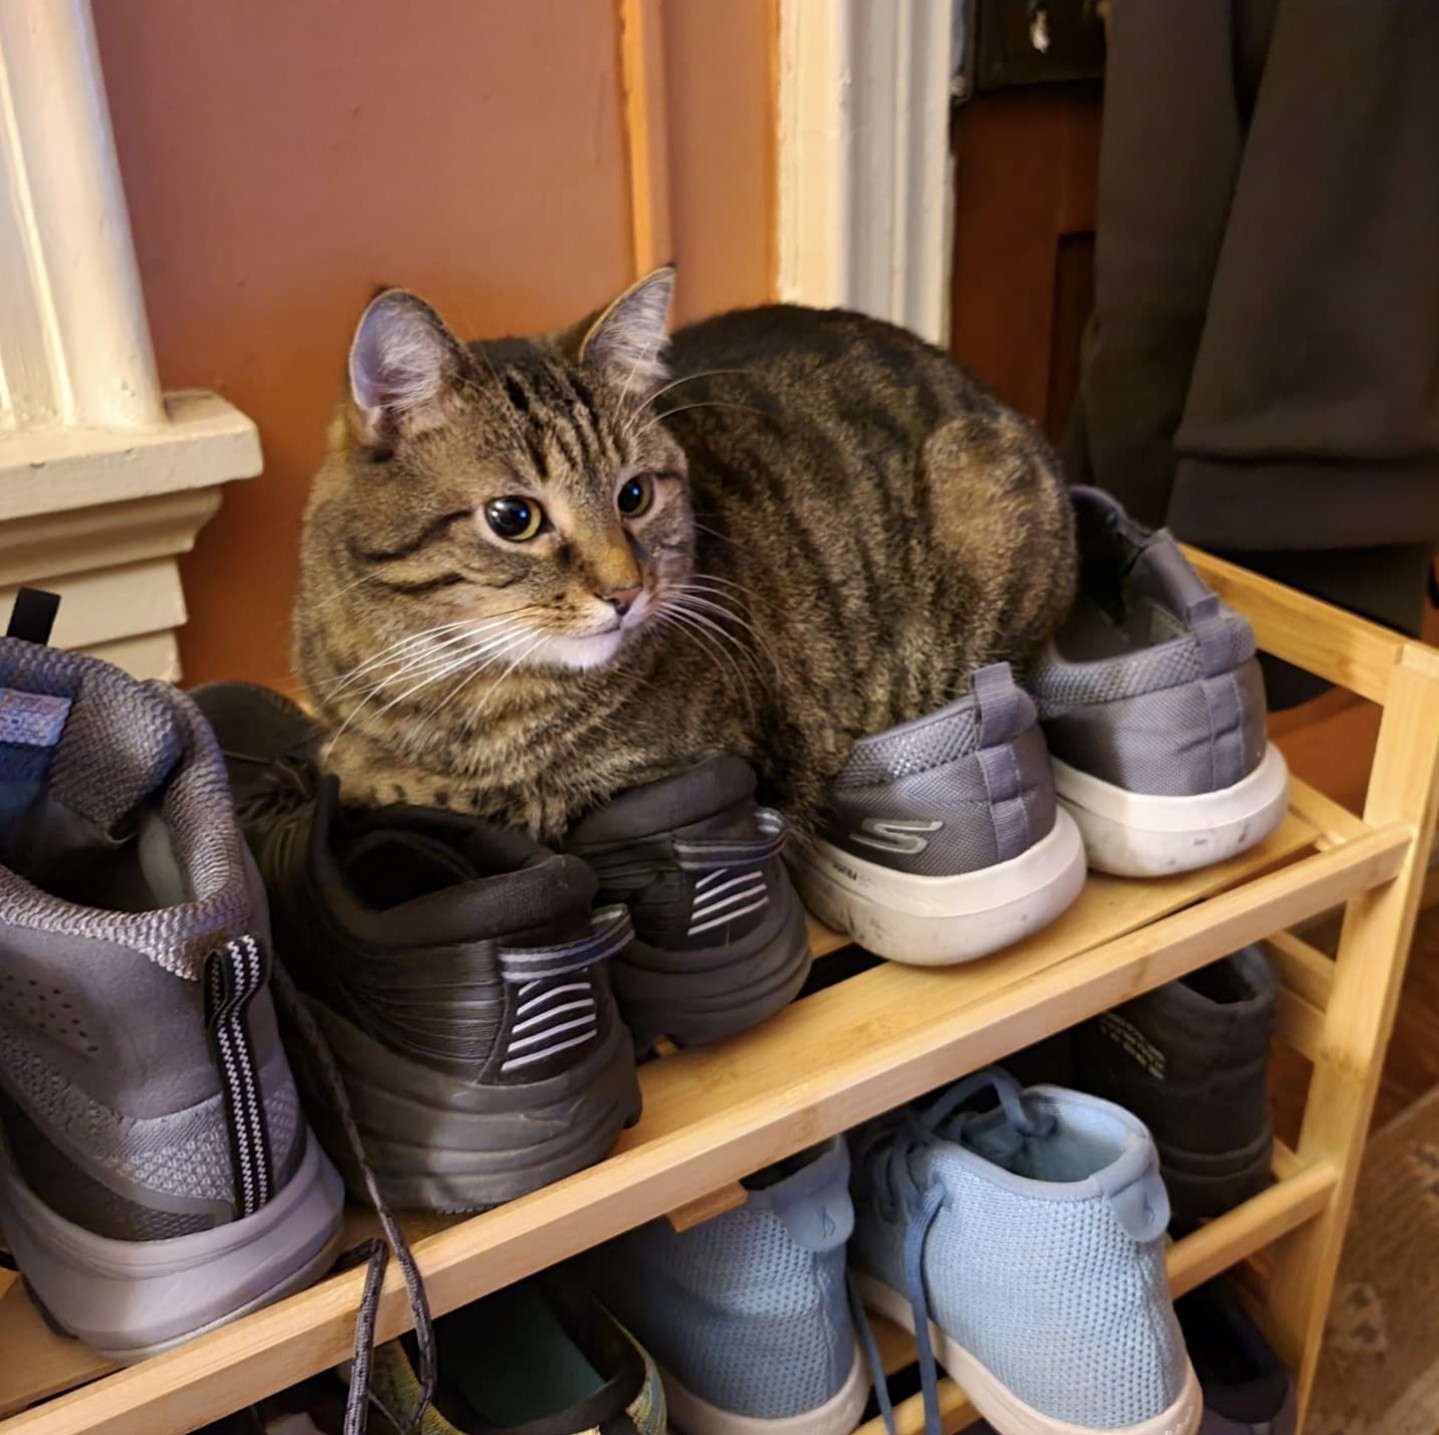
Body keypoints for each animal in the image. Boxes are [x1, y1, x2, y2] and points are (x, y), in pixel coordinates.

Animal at [297, 269, 1076, 840]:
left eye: (634, 494)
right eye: (513, 518)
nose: (625, 591)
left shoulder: (671, 772)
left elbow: (419, 785)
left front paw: (356, 768)